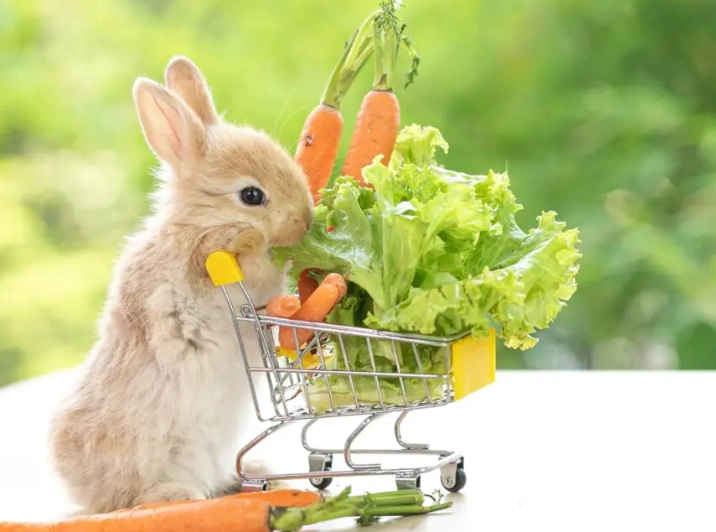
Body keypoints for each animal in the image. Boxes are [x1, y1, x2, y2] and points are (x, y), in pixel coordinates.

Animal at [48, 55, 314, 515]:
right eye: (251, 195)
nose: (307, 219)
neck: (200, 222)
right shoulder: (205, 267)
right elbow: (252, 263)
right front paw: (252, 241)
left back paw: (259, 473)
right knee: (125, 500)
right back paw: (172, 495)